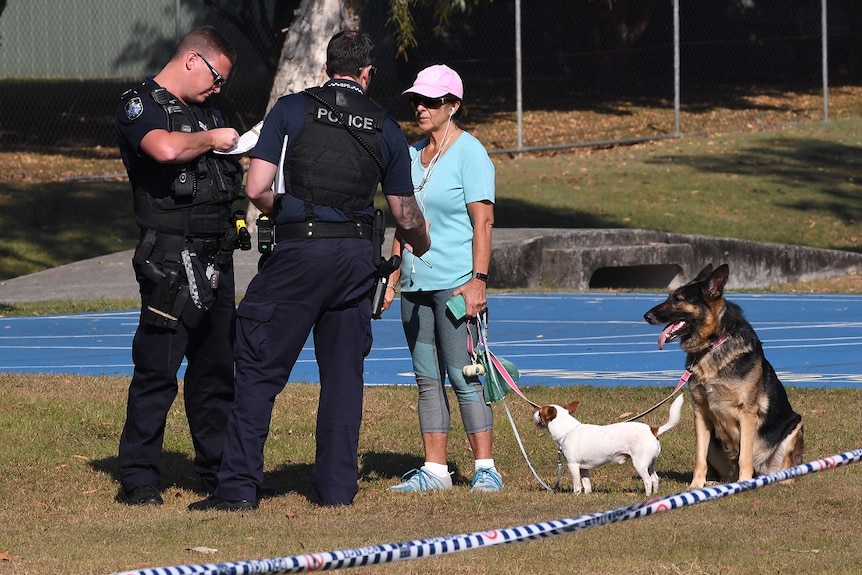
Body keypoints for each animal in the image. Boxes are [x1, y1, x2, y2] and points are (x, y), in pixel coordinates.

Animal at [528, 396, 684, 496]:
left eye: (539, 412)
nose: (533, 412)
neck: (568, 430)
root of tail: (653, 430)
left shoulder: (573, 465)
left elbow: (577, 484)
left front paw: (576, 495)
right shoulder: (584, 468)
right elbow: (587, 483)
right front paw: (587, 495)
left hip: (640, 463)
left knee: (648, 480)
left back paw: (647, 496)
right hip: (650, 462)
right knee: (655, 478)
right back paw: (655, 495)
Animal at [644, 264, 808, 488]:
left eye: (678, 299)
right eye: (670, 296)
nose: (646, 316)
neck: (712, 345)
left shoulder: (747, 413)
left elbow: (744, 457)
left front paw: (744, 484)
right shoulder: (700, 414)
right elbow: (699, 458)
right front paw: (696, 486)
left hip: (794, 427)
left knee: (784, 471)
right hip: (715, 442)